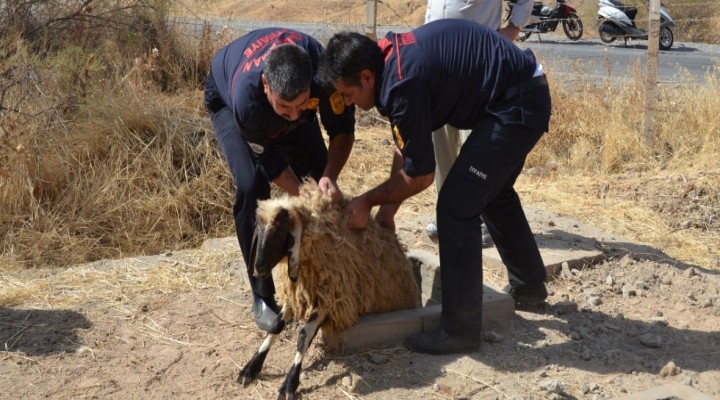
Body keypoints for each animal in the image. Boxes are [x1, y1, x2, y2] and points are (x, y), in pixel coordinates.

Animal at [239, 180, 420, 398]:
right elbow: (275, 326)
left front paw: (289, 384)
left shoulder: (332, 296)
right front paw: (250, 369)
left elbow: (303, 336)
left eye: (281, 230)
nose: (259, 270)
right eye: (258, 228)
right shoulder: (298, 293)